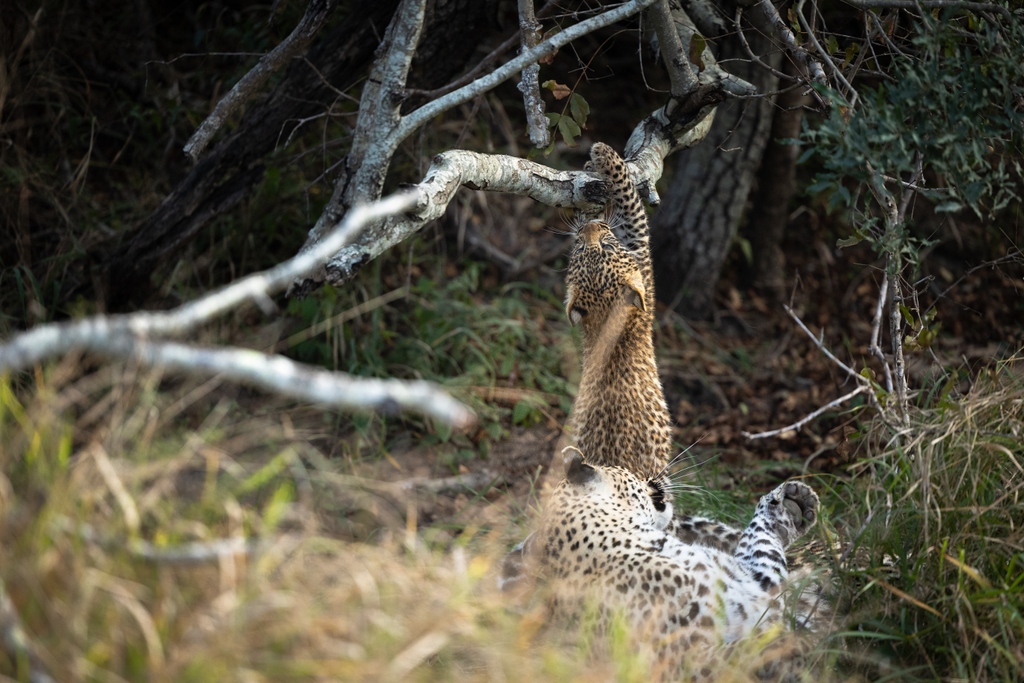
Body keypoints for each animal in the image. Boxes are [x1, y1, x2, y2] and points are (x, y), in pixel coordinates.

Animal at [526, 448, 822, 679]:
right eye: (630, 474)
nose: (655, 478)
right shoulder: (680, 658)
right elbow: (740, 653)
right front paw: (791, 646)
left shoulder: (758, 580)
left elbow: (760, 539)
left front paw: (791, 503)